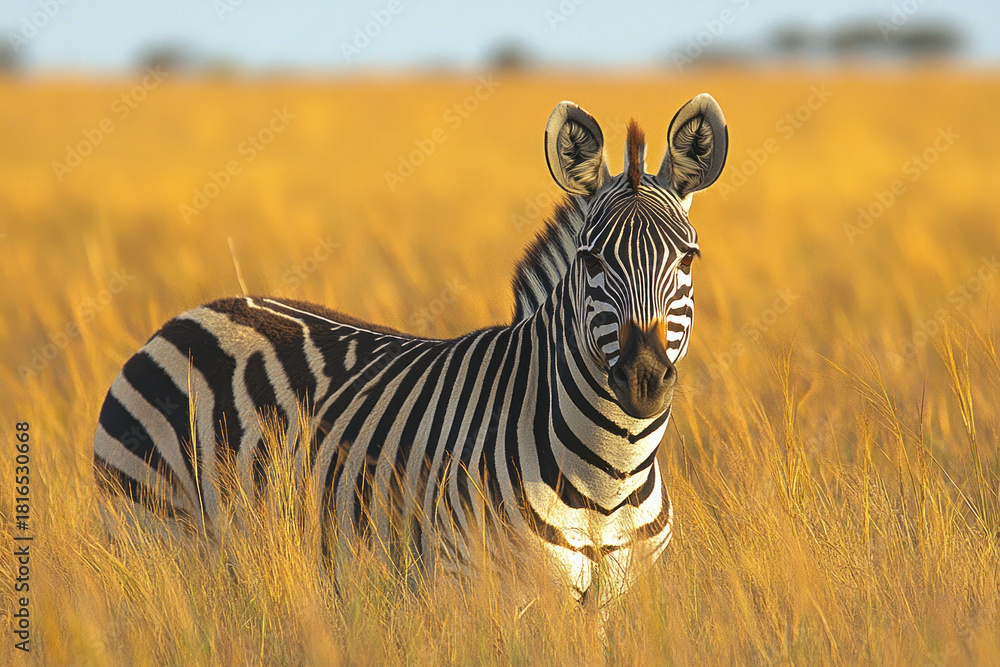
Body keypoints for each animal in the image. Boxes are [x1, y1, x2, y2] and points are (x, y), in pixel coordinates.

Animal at [93, 94, 728, 609]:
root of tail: (195, 313)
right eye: (591, 261)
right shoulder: (474, 583)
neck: (607, 479)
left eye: (689, 258)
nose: (642, 380)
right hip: (152, 531)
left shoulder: (616, 602)